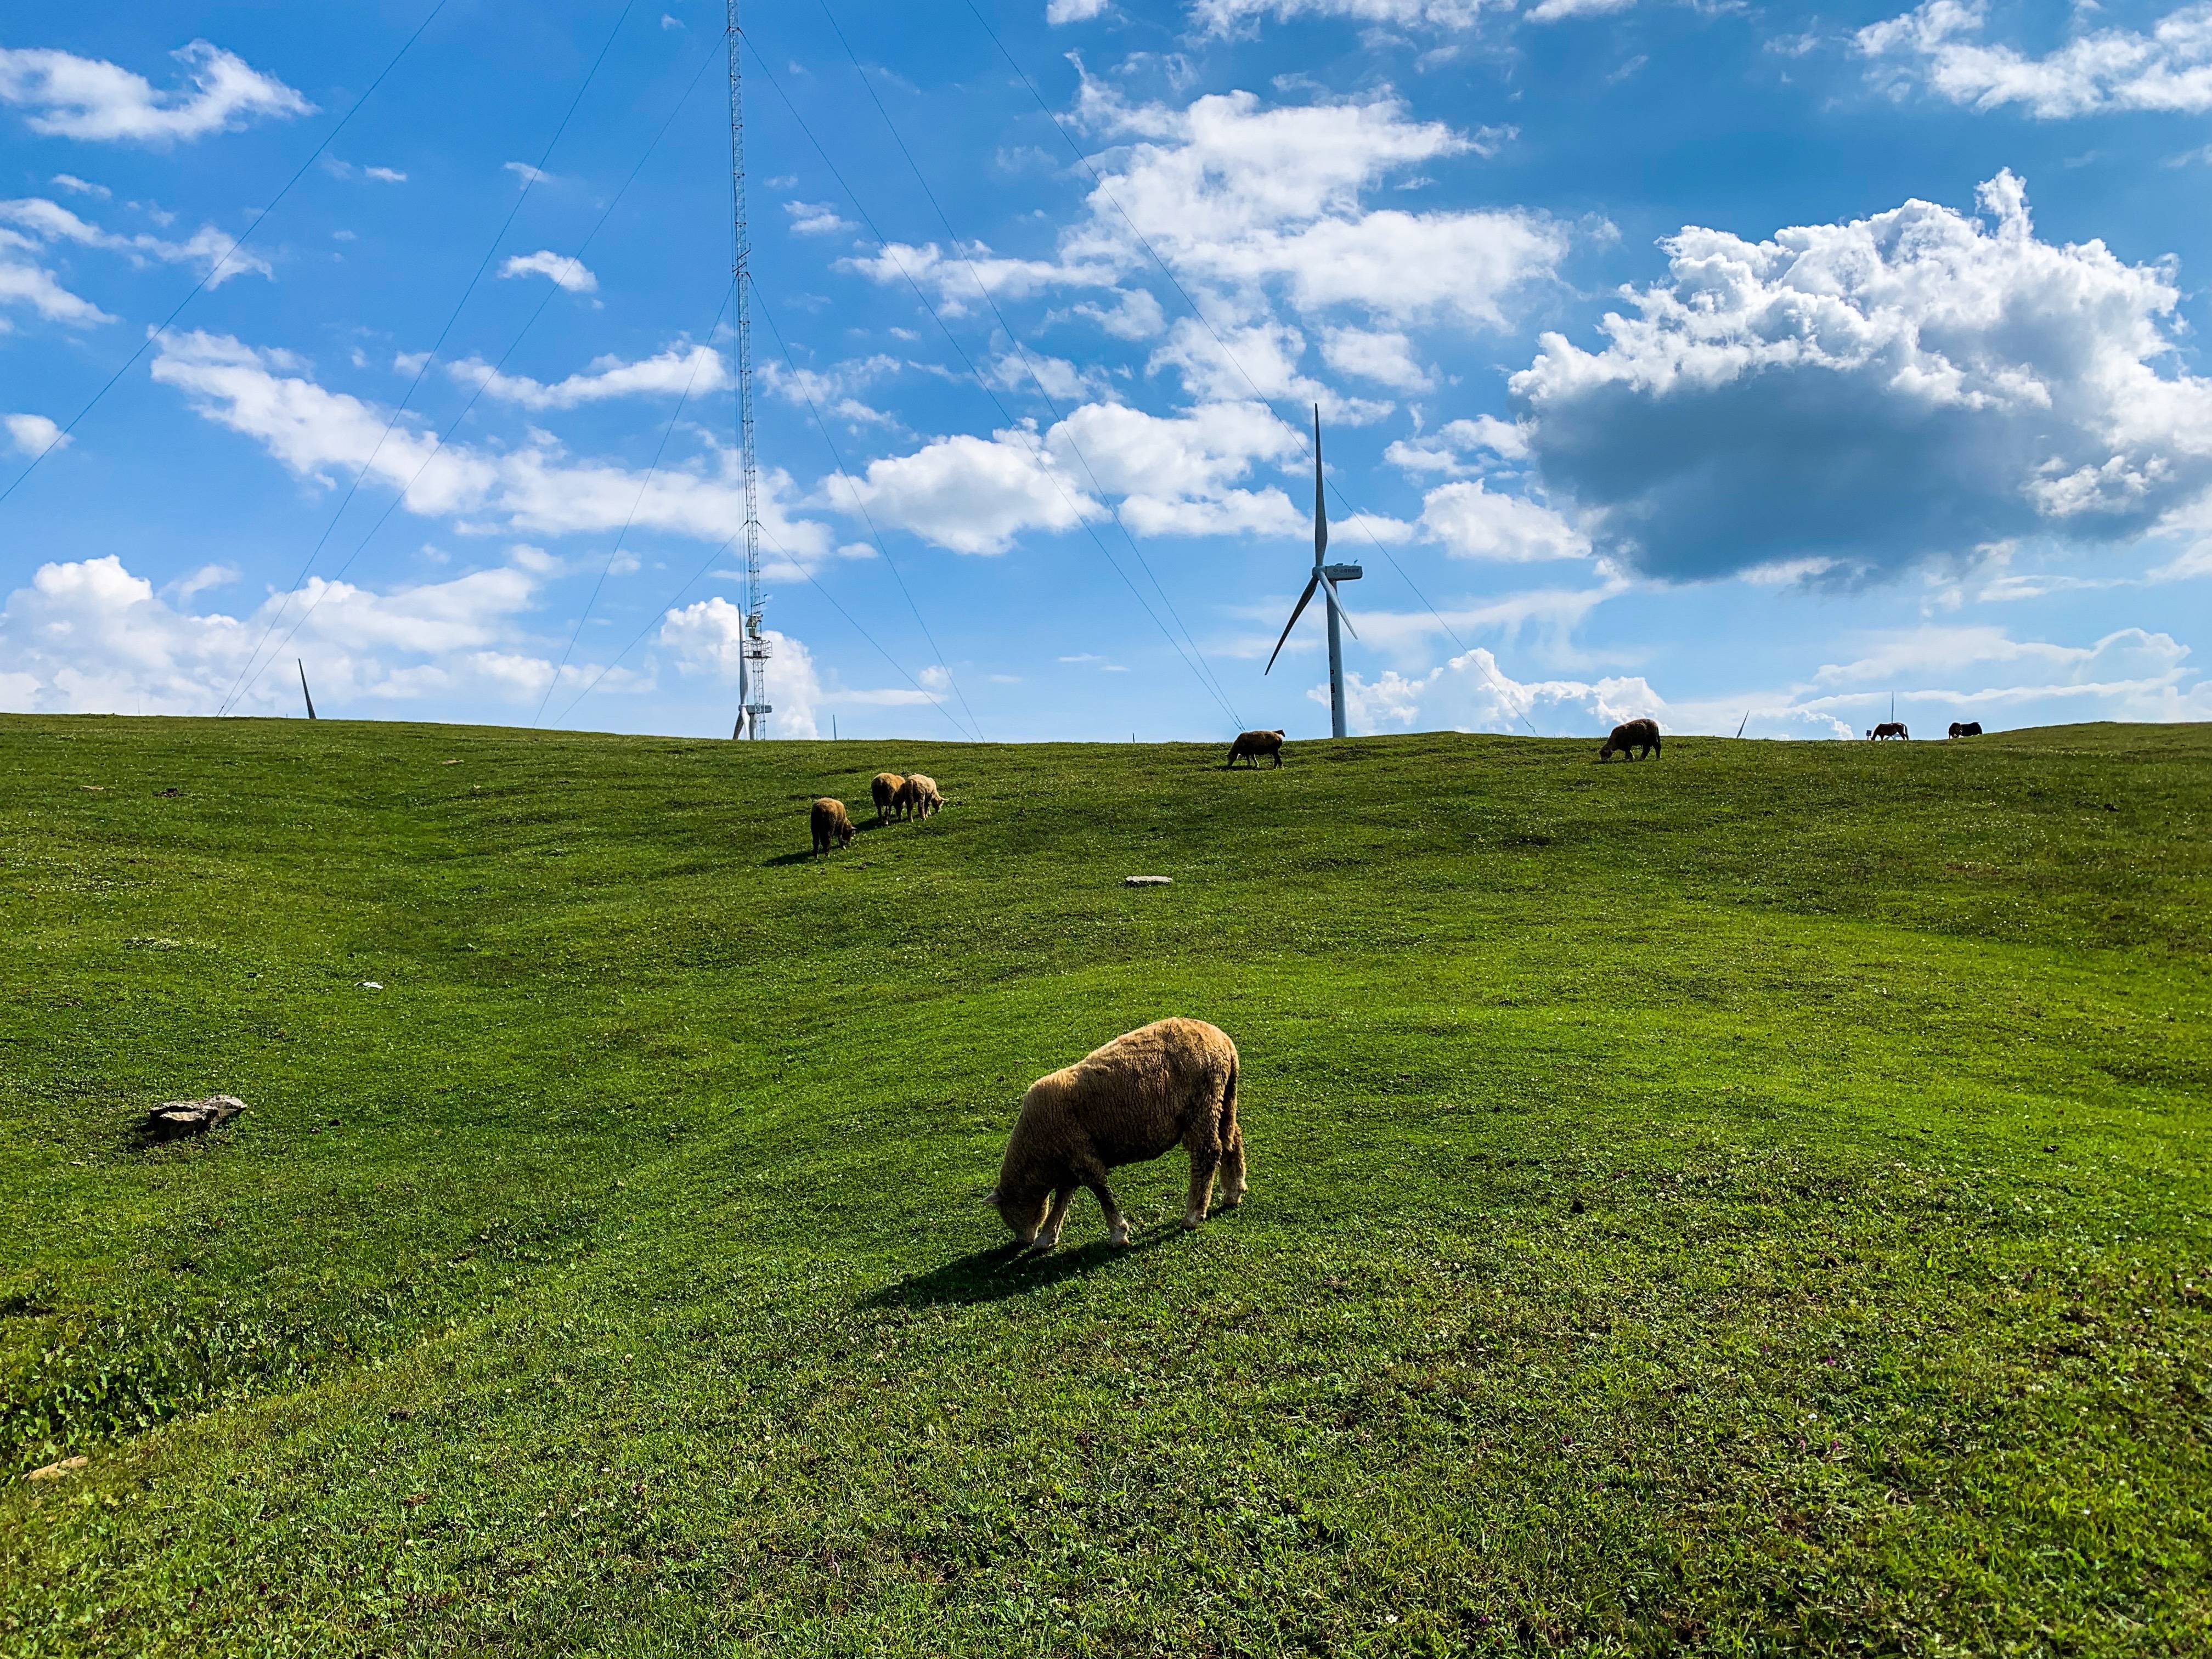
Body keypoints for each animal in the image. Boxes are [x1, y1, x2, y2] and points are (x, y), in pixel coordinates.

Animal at [986, 1022, 1248, 1256]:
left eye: (1007, 1213)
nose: (1022, 1242)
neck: (1036, 1155)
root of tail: (1224, 1043)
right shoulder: (1070, 1159)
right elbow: (1063, 1198)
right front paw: (1047, 1237)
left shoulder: (1081, 1156)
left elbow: (1100, 1192)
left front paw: (1118, 1233)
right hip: (1223, 1097)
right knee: (1233, 1138)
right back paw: (1234, 1192)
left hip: (1202, 1105)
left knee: (1208, 1153)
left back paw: (1193, 1214)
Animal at [1221, 734, 1291, 774]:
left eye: (1229, 757)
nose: (1229, 765)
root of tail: (1280, 739)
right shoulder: (1251, 752)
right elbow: (1252, 758)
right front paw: (1255, 765)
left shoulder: (1248, 751)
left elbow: (1250, 758)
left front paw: (1252, 765)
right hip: (1273, 751)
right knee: (1277, 759)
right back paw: (1275, 767)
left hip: (1274, 750)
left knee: (1278, 759)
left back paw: (1280, 767)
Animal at [1593, 716, 1663, 765]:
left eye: (1605, 754)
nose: (1602, 761)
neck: (1616, 739)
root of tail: (1656, 725)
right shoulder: (1624, 746)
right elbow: (1629, 752)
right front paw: (1632, 758)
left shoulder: (1628, 744)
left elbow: (1627, 752)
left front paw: (1627, 759)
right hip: (1646, 742)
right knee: (1647, 749)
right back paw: (1642, 758)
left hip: (1653, 739)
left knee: (1657, 747)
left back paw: (1658, 758)